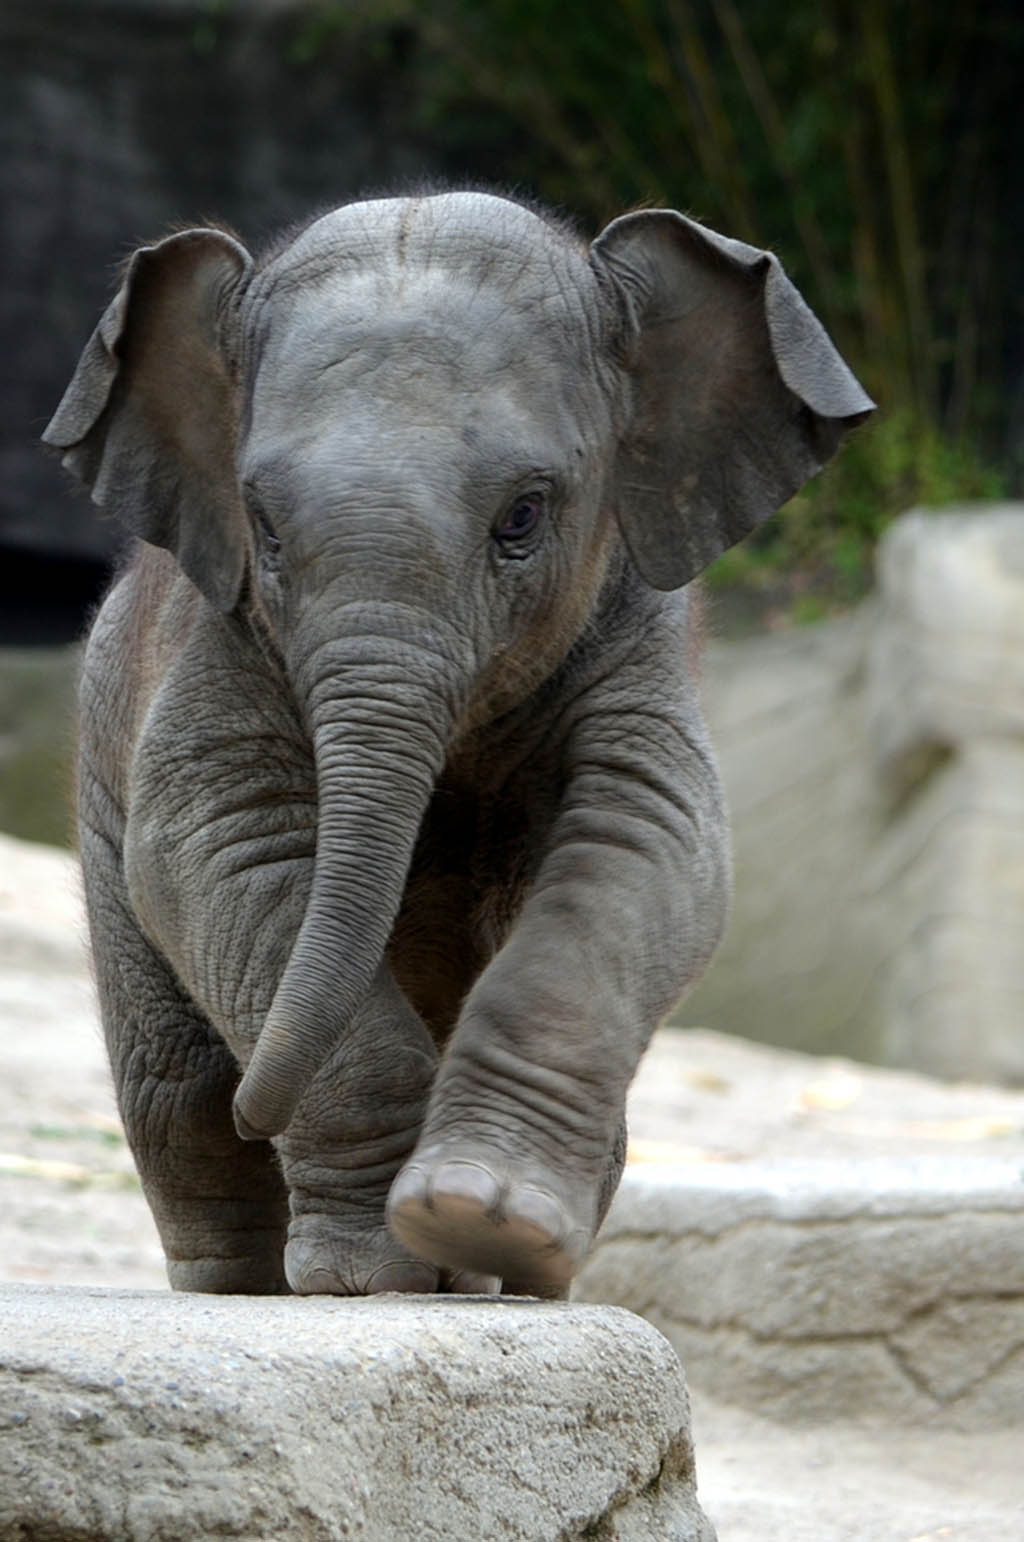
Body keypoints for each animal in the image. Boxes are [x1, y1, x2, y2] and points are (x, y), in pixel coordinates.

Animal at [44, 191, 872, 1299]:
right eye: (264, 529)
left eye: (522, 517)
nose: (260, 1107)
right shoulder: (216, 635)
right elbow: (222, 847)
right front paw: (371, 1278)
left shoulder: (635, 631)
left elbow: (644, 843)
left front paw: (485, 1219)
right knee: (177, 1095)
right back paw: (256, 1284)